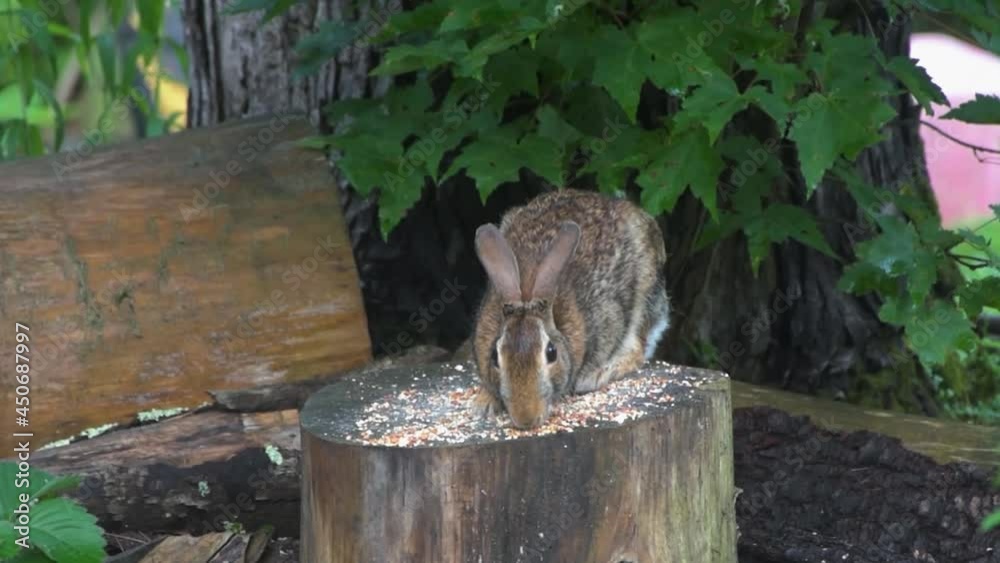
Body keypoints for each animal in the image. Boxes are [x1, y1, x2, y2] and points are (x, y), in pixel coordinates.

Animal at [472, 189, 670, 428]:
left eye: (551, 353)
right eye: (494, 356)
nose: (526, 419)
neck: (527, 293)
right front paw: (483, 402)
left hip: (645, 288)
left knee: (638, 346)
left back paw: (598, 375)